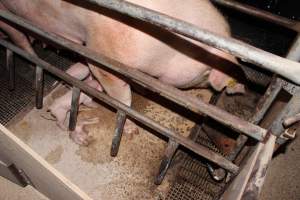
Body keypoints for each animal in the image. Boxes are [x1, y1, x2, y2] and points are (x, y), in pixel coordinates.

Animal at [0, 0, 244, 144]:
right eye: (206, 73)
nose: (231, 88)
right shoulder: (103, 54)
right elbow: (124, 101)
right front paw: (132, 131)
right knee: (19, 36)